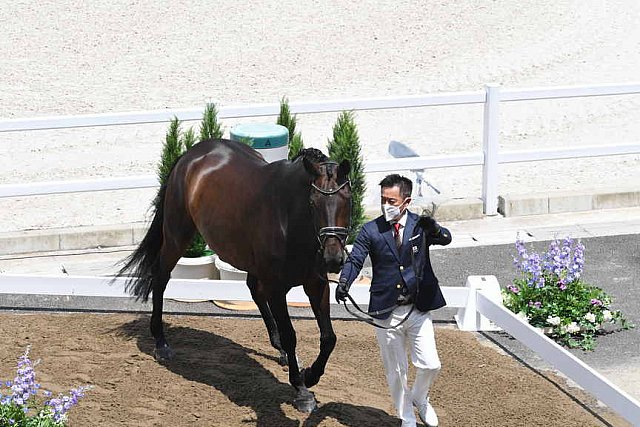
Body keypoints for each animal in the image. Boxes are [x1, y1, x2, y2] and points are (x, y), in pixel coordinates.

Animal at [116, 139, 356, 412]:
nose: (333, 259)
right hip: (177, 236)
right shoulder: (276, 288)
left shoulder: (316, 284)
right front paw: (302, 389)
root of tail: (193, 153)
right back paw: (161, 343)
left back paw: (282, 352)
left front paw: (310, 375)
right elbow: (291, 335)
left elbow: (328, 338)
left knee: (253, 288)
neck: (289, 218)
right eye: (314, 202)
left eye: (347, 200)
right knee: (161, 277)